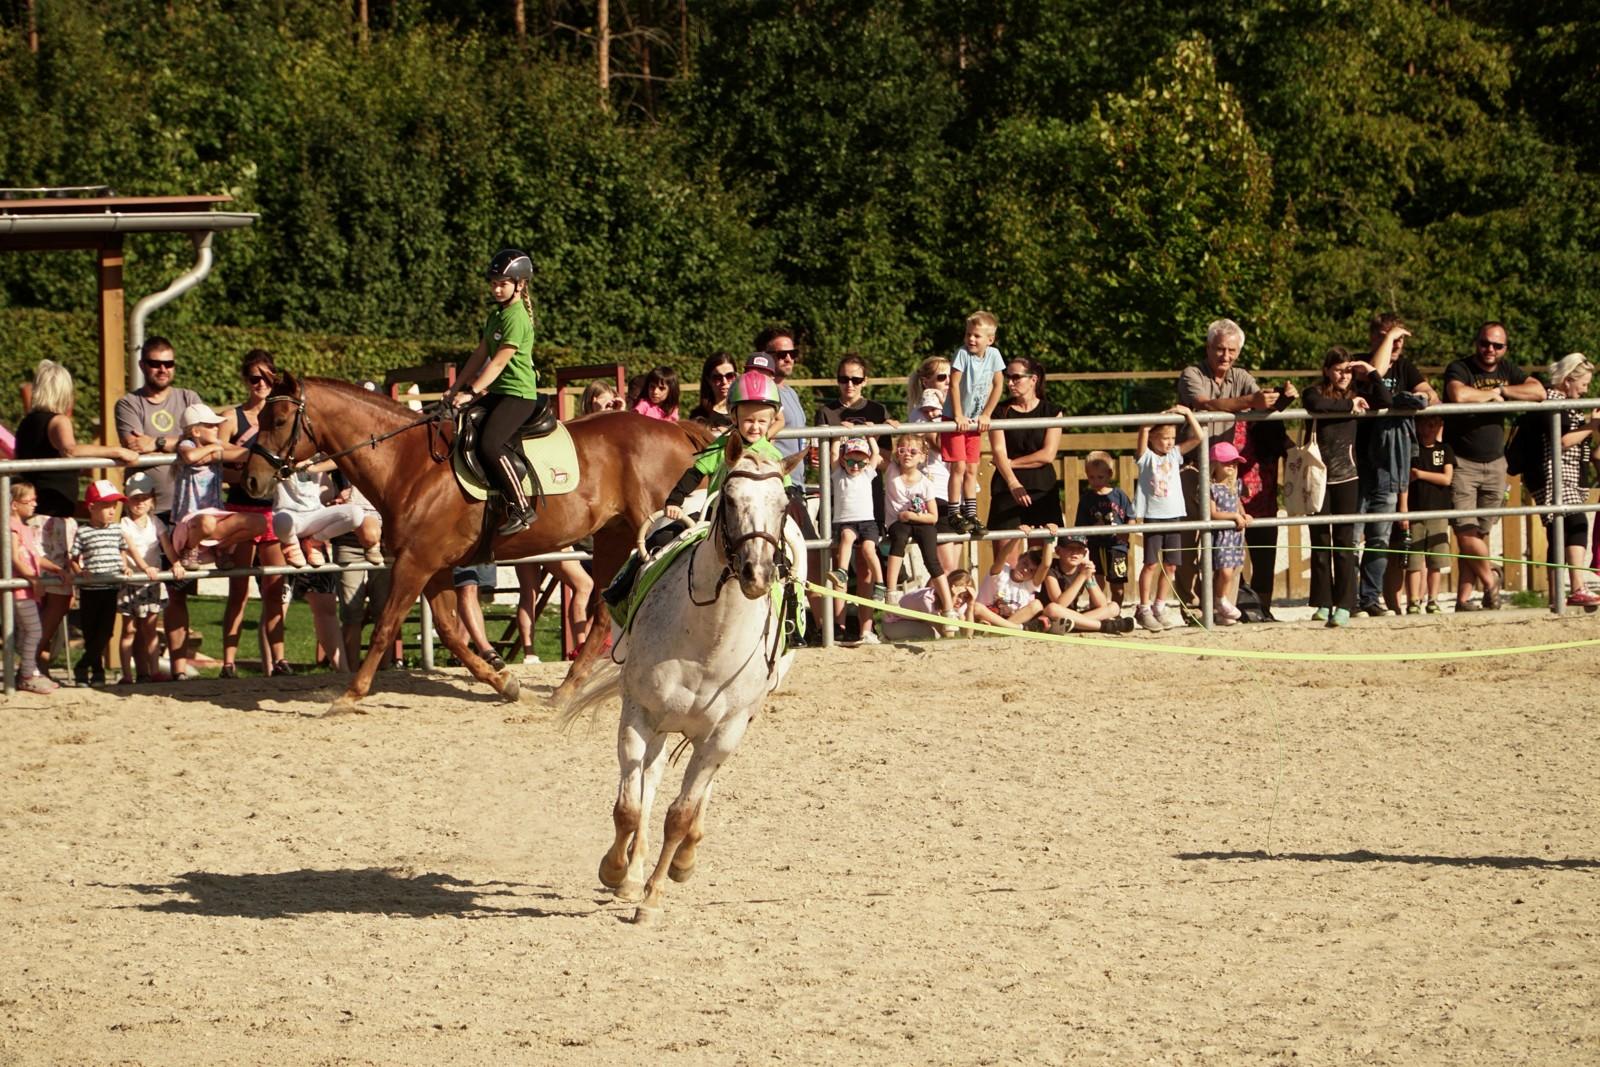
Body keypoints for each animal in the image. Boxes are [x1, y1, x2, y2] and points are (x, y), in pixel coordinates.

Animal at [241, 374, 713, 716]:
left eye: (278, 421)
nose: (252, 481)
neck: (408, 464)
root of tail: (677, 431)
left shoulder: (415, 563)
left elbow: (386, 627)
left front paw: (349, 696)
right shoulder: (433, 566)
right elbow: (451, 632)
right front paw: (506, 683)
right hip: (614, 537)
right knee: (601, 611)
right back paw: (565, 691)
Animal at [559, 438, 805, 923]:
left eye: (784, 504)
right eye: (730, 499)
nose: (757, 573)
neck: (708, 641)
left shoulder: (725, 732)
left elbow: (682, 815)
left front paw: (653, 896)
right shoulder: (639, 716)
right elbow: (630, 806)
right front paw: (617, 872)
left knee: (697, 791)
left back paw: (682, 860)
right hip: (659, 725)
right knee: (649, 780)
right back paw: (632, 871)